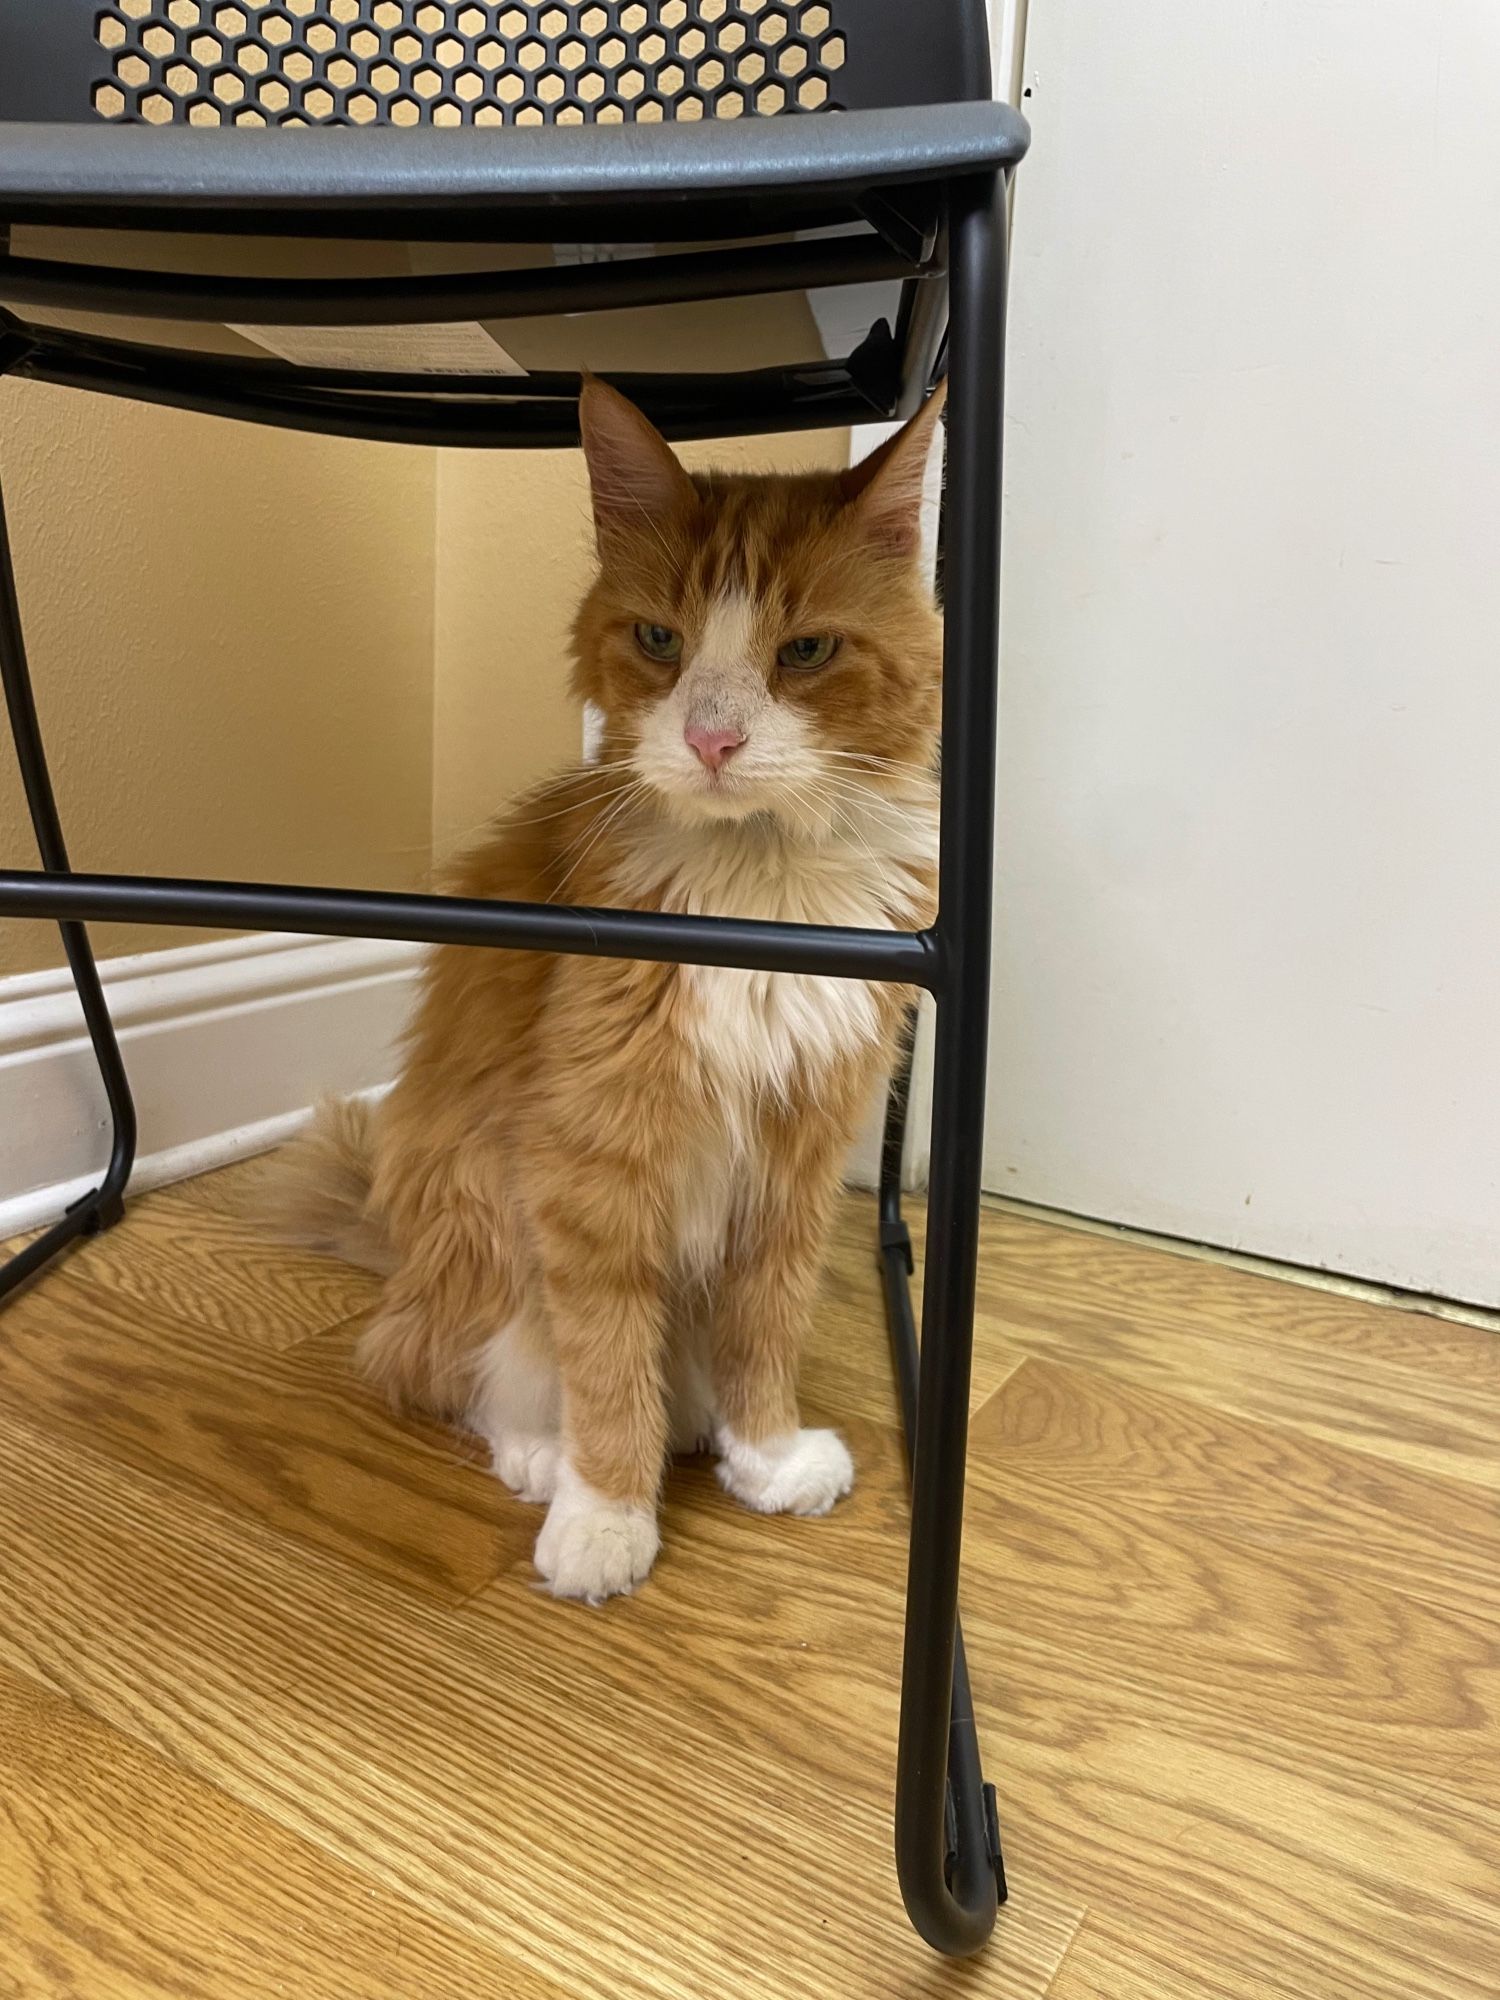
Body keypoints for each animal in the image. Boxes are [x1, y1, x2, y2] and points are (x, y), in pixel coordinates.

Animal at [276, 372, 944, 1592]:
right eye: (660, 640)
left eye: (806, 651)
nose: (715, 740)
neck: (758, 890)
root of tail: (399, 1258)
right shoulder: (592, 1155)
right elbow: (604, 1350)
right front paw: (606, 1515)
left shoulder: (798, 1150)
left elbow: (766, 1325)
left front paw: (768, 1454)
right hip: (478, 1225)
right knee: (454, 1368)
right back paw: (546, 1454)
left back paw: (702, 1424)